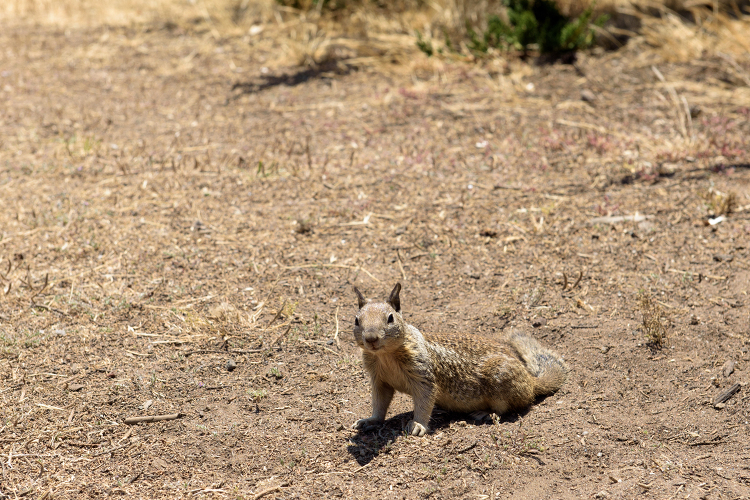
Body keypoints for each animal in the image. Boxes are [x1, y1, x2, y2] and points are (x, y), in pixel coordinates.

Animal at [352, 284, 568, 436]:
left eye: (390, 318)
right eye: (356, 320)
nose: (371, 338)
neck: (385, 356)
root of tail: (531, 380)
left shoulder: (422, 374)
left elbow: (424, 400)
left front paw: (418, 425)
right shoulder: (379, 380)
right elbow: (380, 403)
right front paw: (369, 420)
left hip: (500, 378)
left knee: (507, 408)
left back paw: (485, 413)